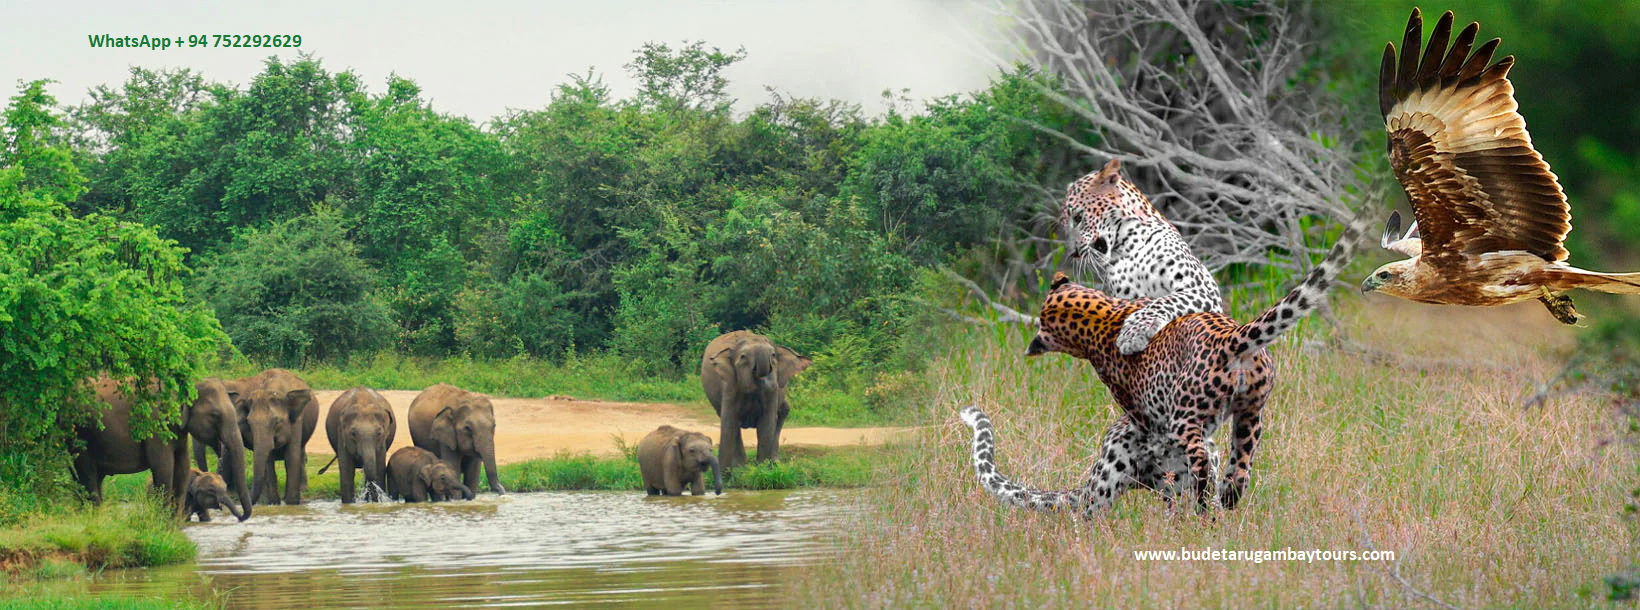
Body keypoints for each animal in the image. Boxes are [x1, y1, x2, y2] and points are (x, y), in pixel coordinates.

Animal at [961, 216, 1369, 515]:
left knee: (1196, 462)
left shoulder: (1138, 408)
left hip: (1184, 420)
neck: (1103, 317)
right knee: (1239, 462)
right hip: (1251, 412)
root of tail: (1231, 339)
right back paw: (1226, 498)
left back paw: (1203, 506)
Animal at [1059, 158, 1224, 357]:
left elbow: (1164, 300)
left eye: (1078, 217)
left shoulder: (1202, 287)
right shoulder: (1126, 299)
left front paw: (1134, 332)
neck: (1127, 247)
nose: (1073, 252)